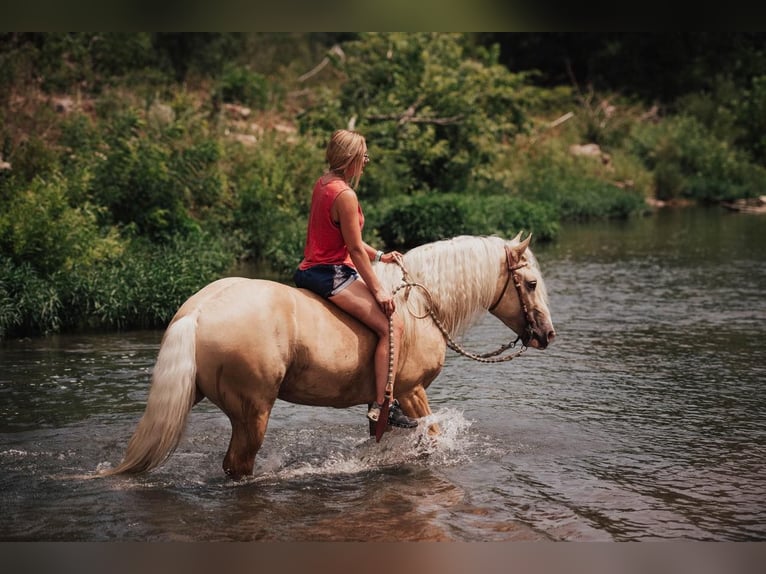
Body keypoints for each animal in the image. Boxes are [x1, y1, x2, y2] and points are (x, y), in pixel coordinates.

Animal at [101, 233, 555, 479]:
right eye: (531, 284)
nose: (547, 335)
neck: (420, 305)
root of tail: (197, 311)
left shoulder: (385, 402)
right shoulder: (410, 391)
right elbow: (432, 439)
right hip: (252, 411)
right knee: (237, 465)